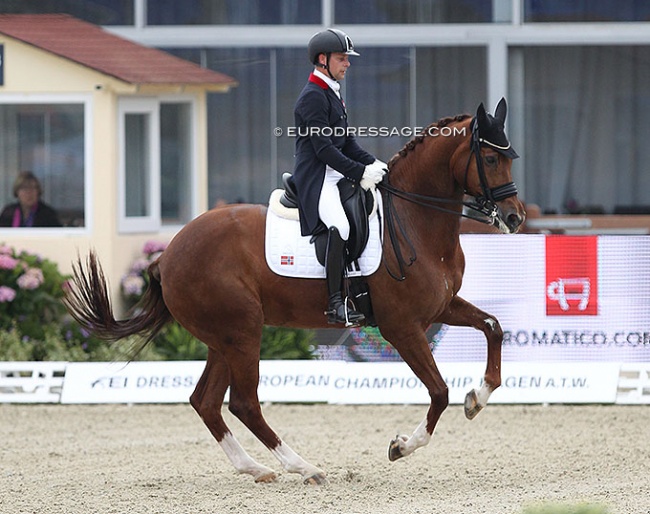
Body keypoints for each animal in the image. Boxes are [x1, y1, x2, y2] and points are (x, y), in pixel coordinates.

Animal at [63, 98, 524, 482]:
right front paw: (402, 446)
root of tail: (169, 253)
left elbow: (493, 326)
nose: (515, 218)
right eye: (488, 157)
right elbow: (439, 391)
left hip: (223, 337)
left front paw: (477, 397)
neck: (414, 219)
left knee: (206, 401)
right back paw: (304, 467)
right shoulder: (401, 326)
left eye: (509, 157)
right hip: (243, 330)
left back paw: (255, 468)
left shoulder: (441, 307)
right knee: (243, 403)